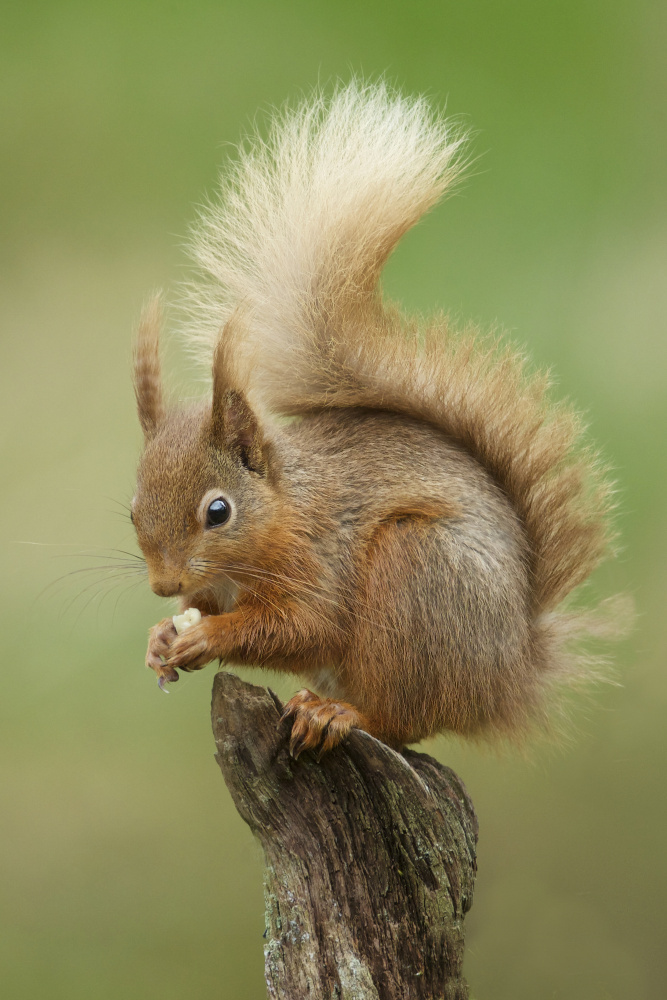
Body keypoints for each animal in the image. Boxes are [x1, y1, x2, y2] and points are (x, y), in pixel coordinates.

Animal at [131, 81, 626, 757]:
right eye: (132, 511)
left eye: (218, 511)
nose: (163, 585)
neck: (284, 510)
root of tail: (508, 679)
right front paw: (162, 636)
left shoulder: (320, 560)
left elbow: (304, 625)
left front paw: (207, 635)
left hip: (415, 581)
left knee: (401, 719)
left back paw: (337, 714)